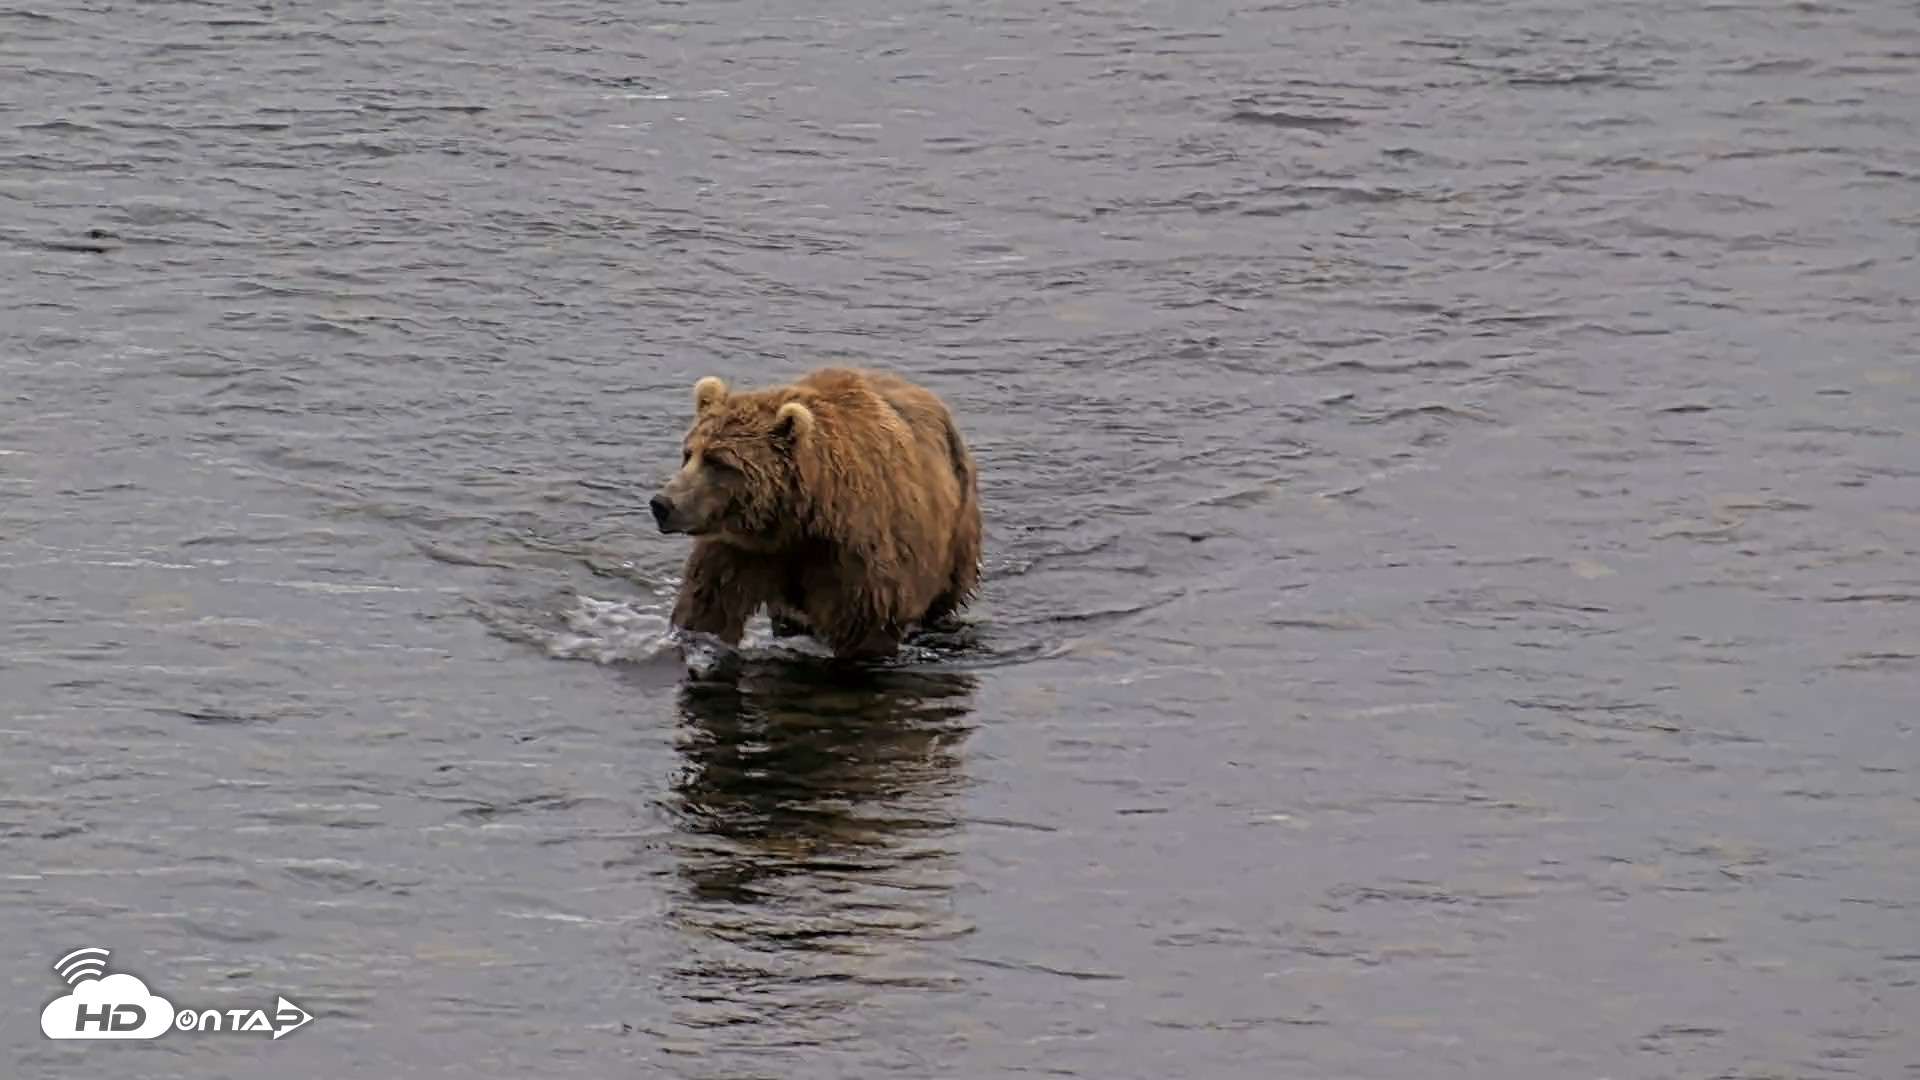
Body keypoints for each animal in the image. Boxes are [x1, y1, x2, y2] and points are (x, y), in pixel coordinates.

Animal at [649, 366, 983, 662]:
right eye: (689, 454)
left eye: (718, 461)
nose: (662, 503)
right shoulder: (739, 548)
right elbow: (708, 608)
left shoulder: (852, 556)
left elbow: (865, 627)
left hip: (955, 534)